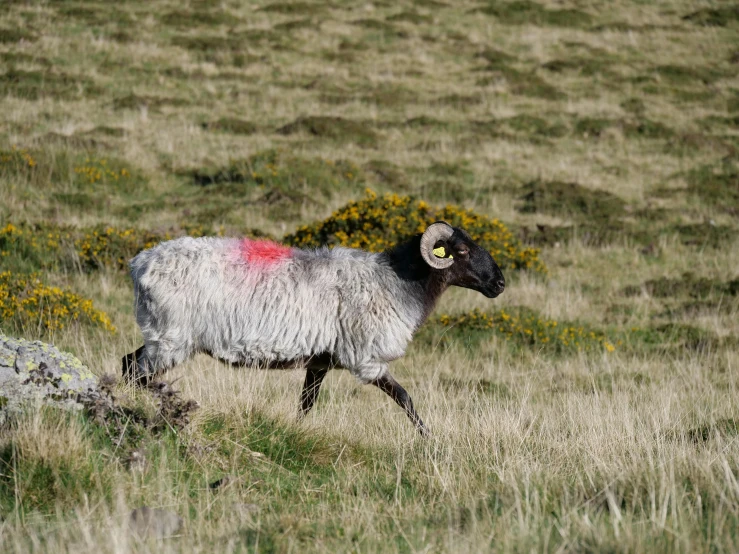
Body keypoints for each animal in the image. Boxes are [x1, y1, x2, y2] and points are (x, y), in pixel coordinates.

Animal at [123, 221, 502, 436]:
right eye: (462, 250)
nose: (499, 283)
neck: (395, 283)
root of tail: (140, 263)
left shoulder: (320, 361)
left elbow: (307, 403)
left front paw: (298, 431)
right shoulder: (364, 358)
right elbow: (404, 397)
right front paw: (429, 439)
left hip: (163, 336)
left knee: (129, 362)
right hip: (171, 338)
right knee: (136, 371)